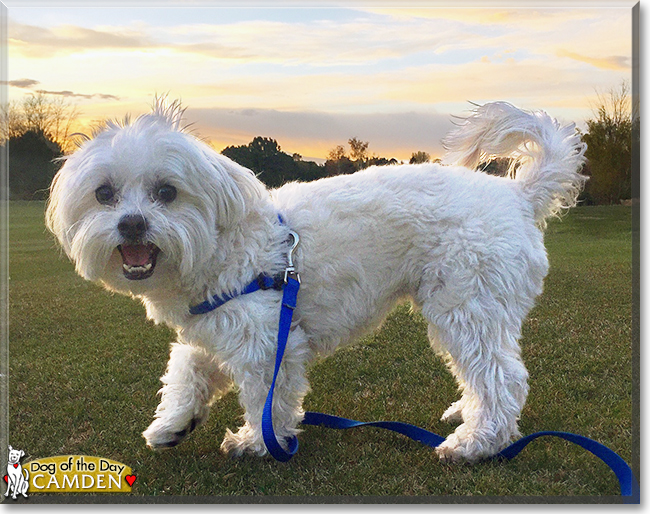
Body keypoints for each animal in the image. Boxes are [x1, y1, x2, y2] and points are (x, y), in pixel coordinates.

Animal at [44, 99, 584, 460]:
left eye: (166, 192)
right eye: (105, 194)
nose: (132, 224)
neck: (221, 245)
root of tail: (520, 196)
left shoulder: (266, 339)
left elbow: (267, 397)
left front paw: (258, 441)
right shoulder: (213, 327)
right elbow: (187, 370)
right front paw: (174, 423)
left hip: (467, 305)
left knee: (502, 377)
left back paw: (477, 442)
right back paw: (466, 416)